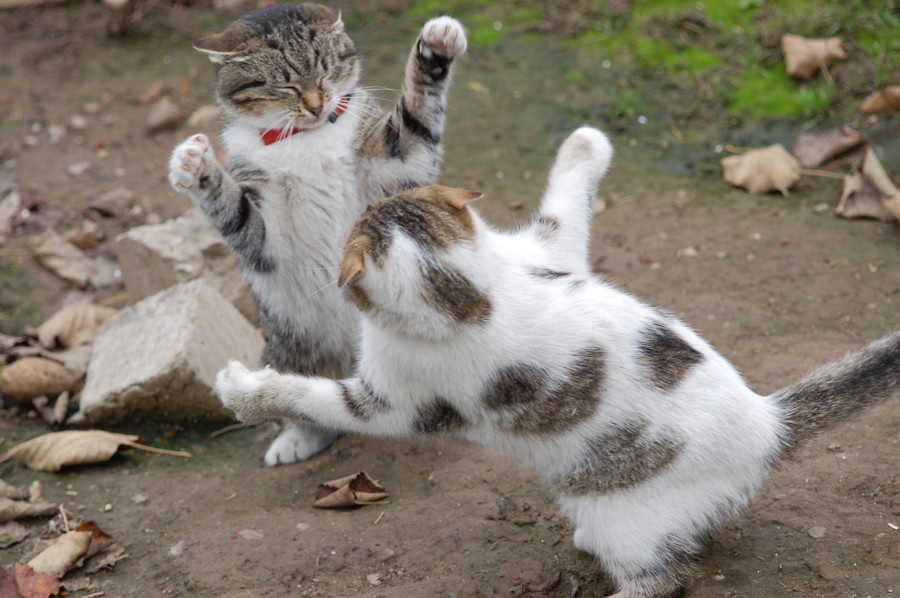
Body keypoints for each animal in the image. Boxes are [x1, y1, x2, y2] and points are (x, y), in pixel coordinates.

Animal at [165, 2, 468, 466]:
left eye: (326, 70)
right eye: (283, 84)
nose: (316, 104)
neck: (306, 137)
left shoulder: (396, 170)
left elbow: (417, 124)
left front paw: (435, 49)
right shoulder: (263, 239)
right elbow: (236, 214)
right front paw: (195, 167)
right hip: (288, 350)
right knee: (316, 408)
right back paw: (297, 440)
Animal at [216, 127, 900, 598]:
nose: (356, 216)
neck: (473, 293)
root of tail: (768, 422)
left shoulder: (394, 403)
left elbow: (311, 395)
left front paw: (243, 388)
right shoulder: (550, 249)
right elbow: (564, 202)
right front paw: (585, 142)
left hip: (627, 518)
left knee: (664, 578)